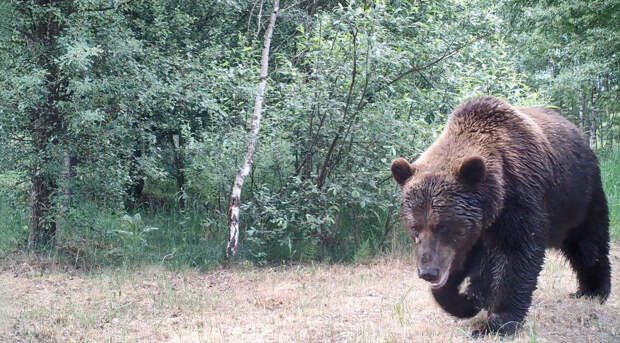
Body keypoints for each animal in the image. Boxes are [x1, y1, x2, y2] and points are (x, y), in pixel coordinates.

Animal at [392, 96, 612, 336]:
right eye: (414, 227)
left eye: (442, 226)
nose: (428, 272)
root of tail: (578, 132)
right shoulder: (475, 230)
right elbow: (465, 266)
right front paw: (464, 301)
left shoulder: (520, 201)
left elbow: (516, 256)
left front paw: (495, 323)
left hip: (579, 196)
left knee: (588, 243)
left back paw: (593, 290)